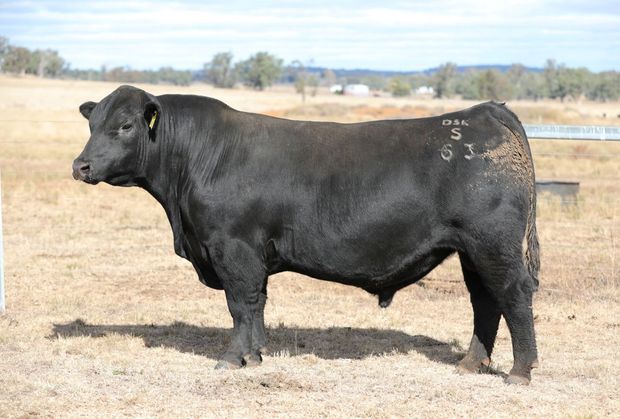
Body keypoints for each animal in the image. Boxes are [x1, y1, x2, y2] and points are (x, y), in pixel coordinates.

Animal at [71, 87, 536, 386]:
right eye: (91, 123)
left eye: (126, 125)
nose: (81, 166)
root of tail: (486, 112)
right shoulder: (250, 256)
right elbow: (256, 305)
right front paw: (255, 355)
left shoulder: (232, 248)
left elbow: (240, 305)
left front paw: (231, 359)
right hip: (471, 251)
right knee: (485, 302)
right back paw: (470, 364)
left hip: (493, 245)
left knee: (512, 297)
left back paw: (520, 371)